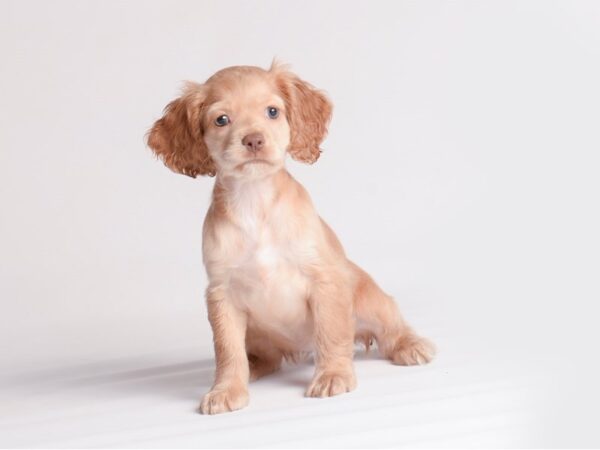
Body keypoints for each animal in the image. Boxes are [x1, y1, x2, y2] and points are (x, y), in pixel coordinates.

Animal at [147, 60, 434, 414]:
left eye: (272, 111)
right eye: (221, 120)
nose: (254, 140)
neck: (255, 202)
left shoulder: (323, 279)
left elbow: (331, 333)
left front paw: (333, 374)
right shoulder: (221, 294)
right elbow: (227, 351)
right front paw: (226, 389)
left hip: (371, 302)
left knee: (389, 326)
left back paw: (410, 345)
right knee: (265, 356)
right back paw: (254, 365)